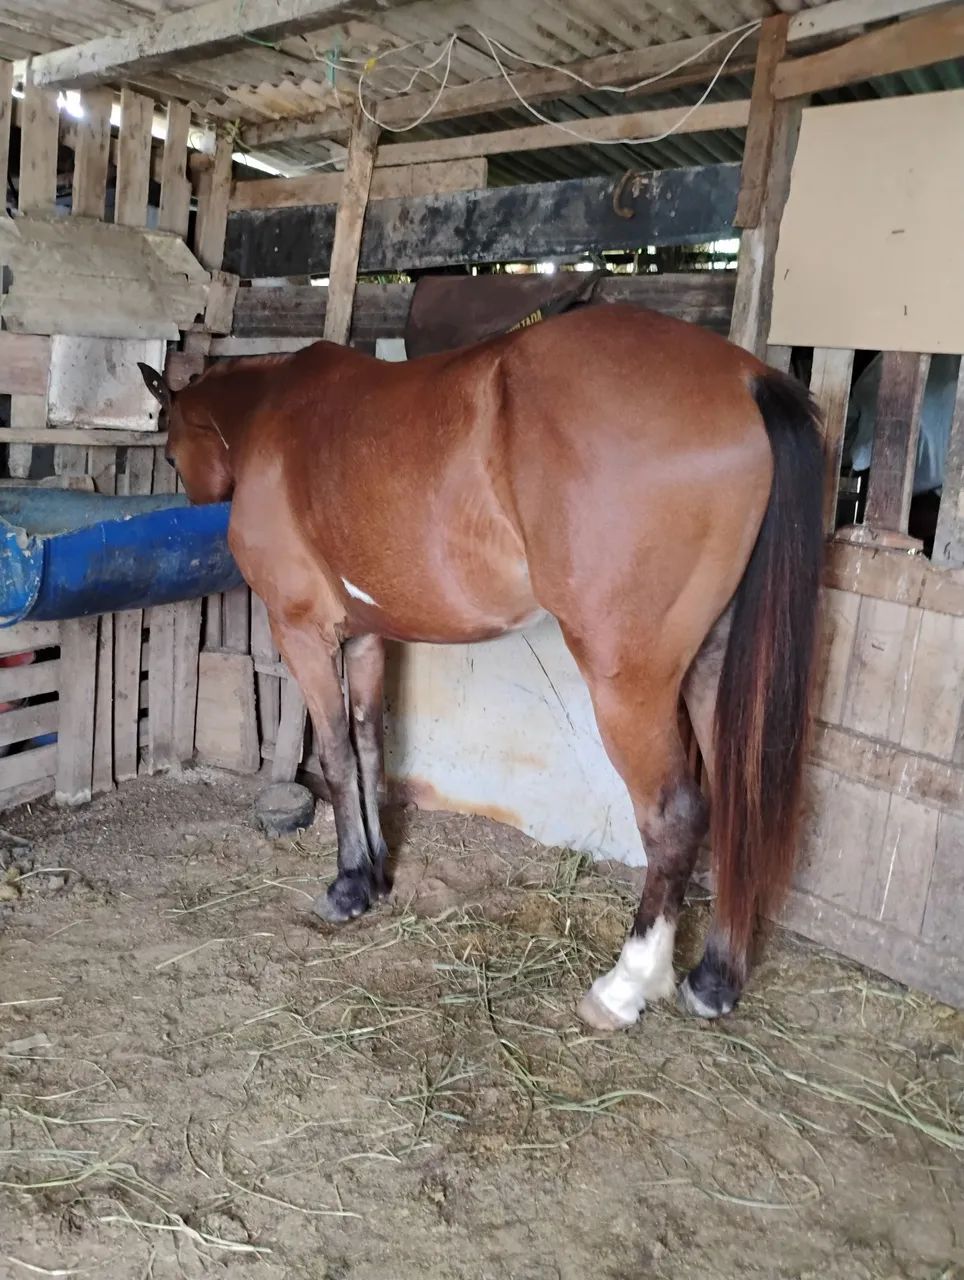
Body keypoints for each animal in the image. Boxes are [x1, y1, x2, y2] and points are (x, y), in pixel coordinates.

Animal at [138, 302, 824, 1030]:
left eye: (170, 449)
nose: (196, 505)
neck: (275, 414)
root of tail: (746, 378)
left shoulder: (302, 631)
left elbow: (336, 755)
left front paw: (348, 886)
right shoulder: (368, 636)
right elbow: (370, 747)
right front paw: (377, 872)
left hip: (629, 684)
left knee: (675, 816)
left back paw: (625, 986)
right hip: (712, 667)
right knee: (739, 796)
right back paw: (715, 980)